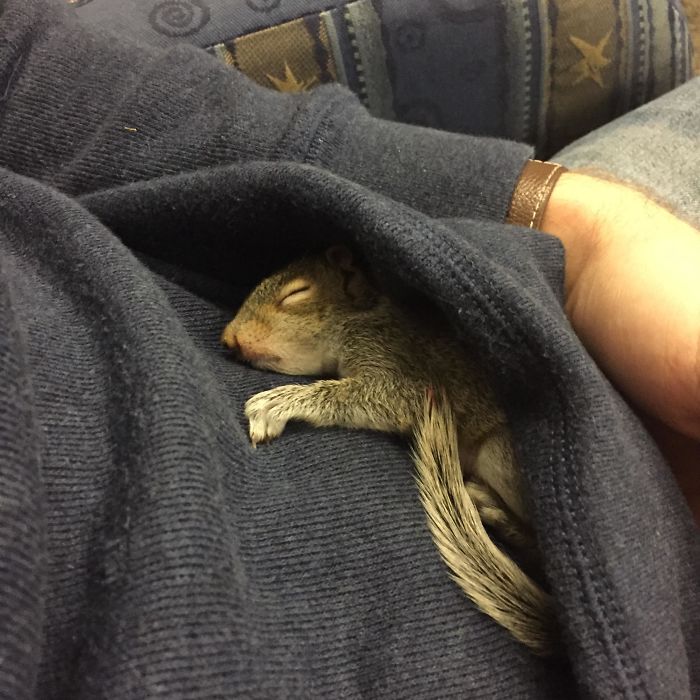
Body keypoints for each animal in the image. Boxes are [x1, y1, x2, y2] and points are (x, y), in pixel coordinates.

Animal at [221, 245, 558, 656]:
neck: (363, 315)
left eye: (296, 294)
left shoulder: (401, 370)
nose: (227, 337)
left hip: (501, 455)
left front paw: (277, 404)